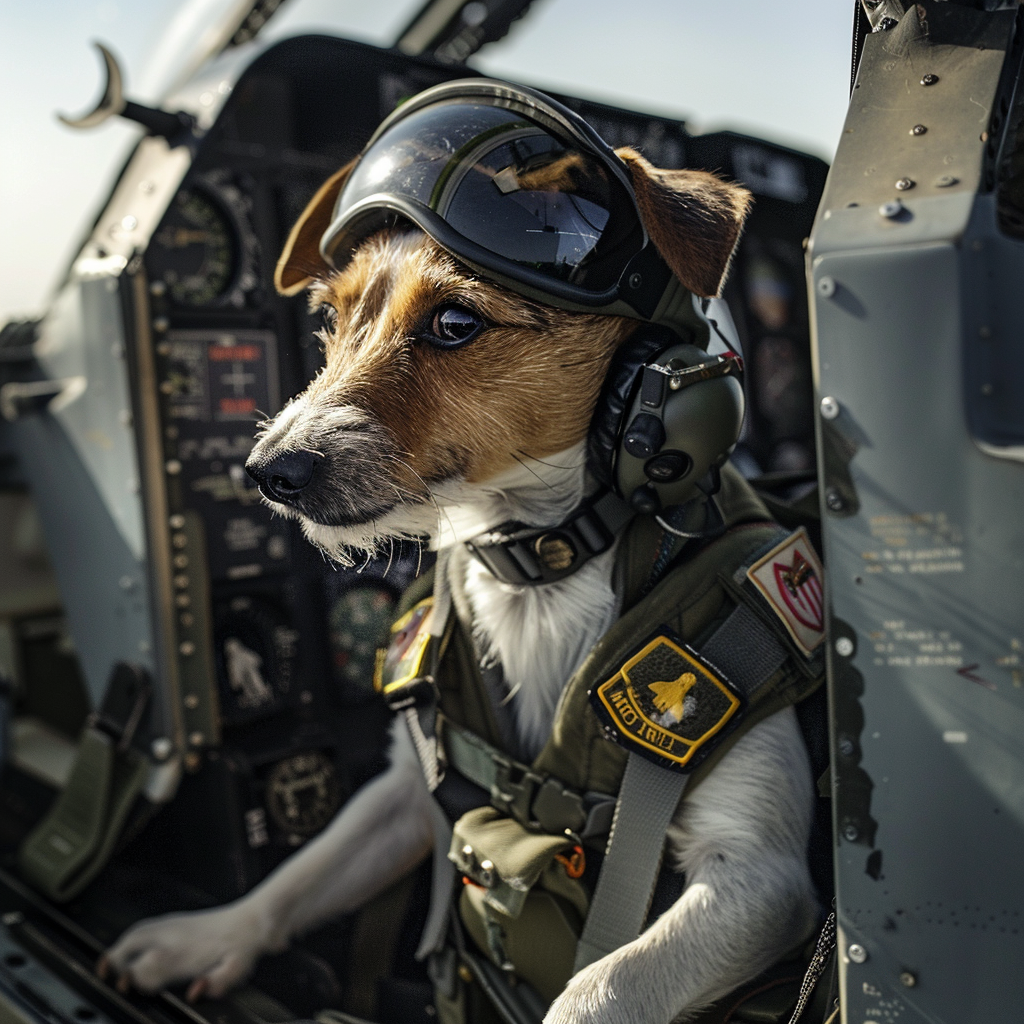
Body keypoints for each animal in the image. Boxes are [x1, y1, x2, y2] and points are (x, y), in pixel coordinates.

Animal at [101, 117, 815, 1015]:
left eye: (453, 323)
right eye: (330, 318)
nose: (267, 471)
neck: (539, 566)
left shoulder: (758, 872)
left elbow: (604, 984)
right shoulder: (409, 790)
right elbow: (302, 874)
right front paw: (206, 936)